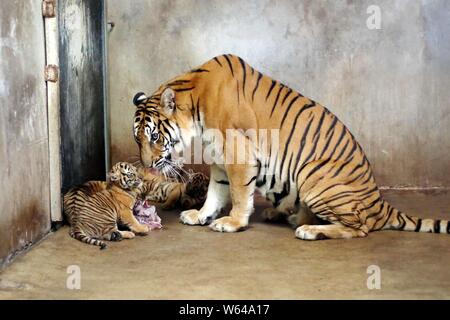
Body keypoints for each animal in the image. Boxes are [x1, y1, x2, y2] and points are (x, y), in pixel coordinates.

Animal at [132, 55, 448, 240]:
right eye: (138, 139)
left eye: (155, 137)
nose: (147, 166)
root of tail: (380, 203)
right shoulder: (219, 158)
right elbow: (215, 192)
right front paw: (201, 215)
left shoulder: (238, 153)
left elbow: (238, 194)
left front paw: (232, 222)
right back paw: (290, 215)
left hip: (313, 175)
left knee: (360, 228)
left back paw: (309, 229)